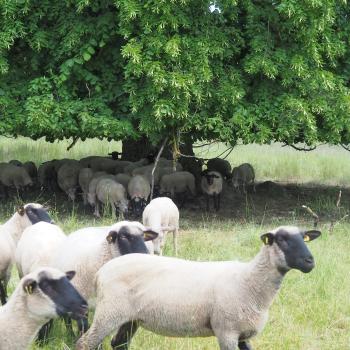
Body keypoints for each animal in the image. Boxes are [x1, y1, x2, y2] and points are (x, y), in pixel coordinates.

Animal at [78, 226, 322, 348]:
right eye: (282, 240)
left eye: (305, 238)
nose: (310, 261)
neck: (249, 281)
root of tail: (101, 272)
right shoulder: (226, 332)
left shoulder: (242, 334)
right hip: (109, 313)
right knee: (84, 343)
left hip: (130, 318)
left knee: (118, 344)